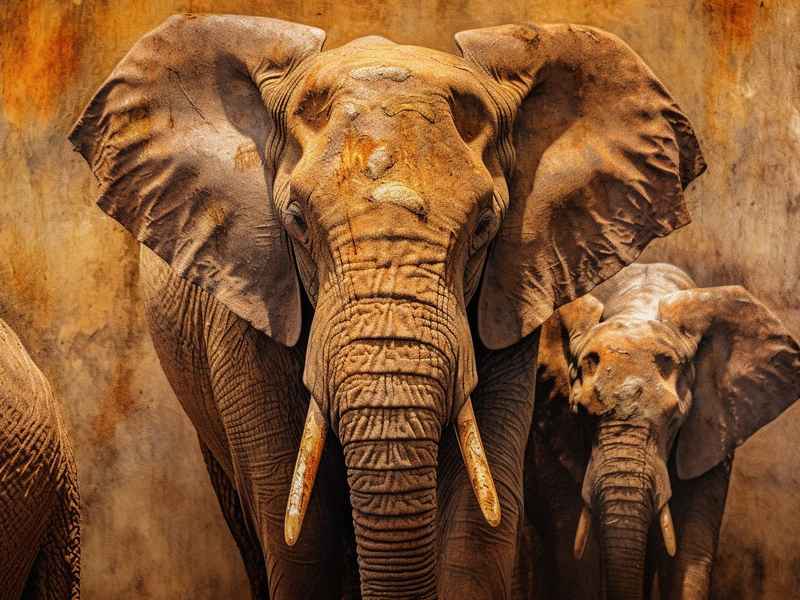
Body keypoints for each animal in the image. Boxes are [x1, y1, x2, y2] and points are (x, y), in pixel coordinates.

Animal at [69, 14, 706, 599]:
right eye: (296, 221)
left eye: (485, 225)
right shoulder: (246, 302)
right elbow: (297, 537)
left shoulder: (510, 301)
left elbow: (475, 532)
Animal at [524, 262, 800, 600]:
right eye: (582, 415)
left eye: (674, 419)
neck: (637, 305)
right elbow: (575, 552)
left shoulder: (712, 429)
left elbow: (688, 546)